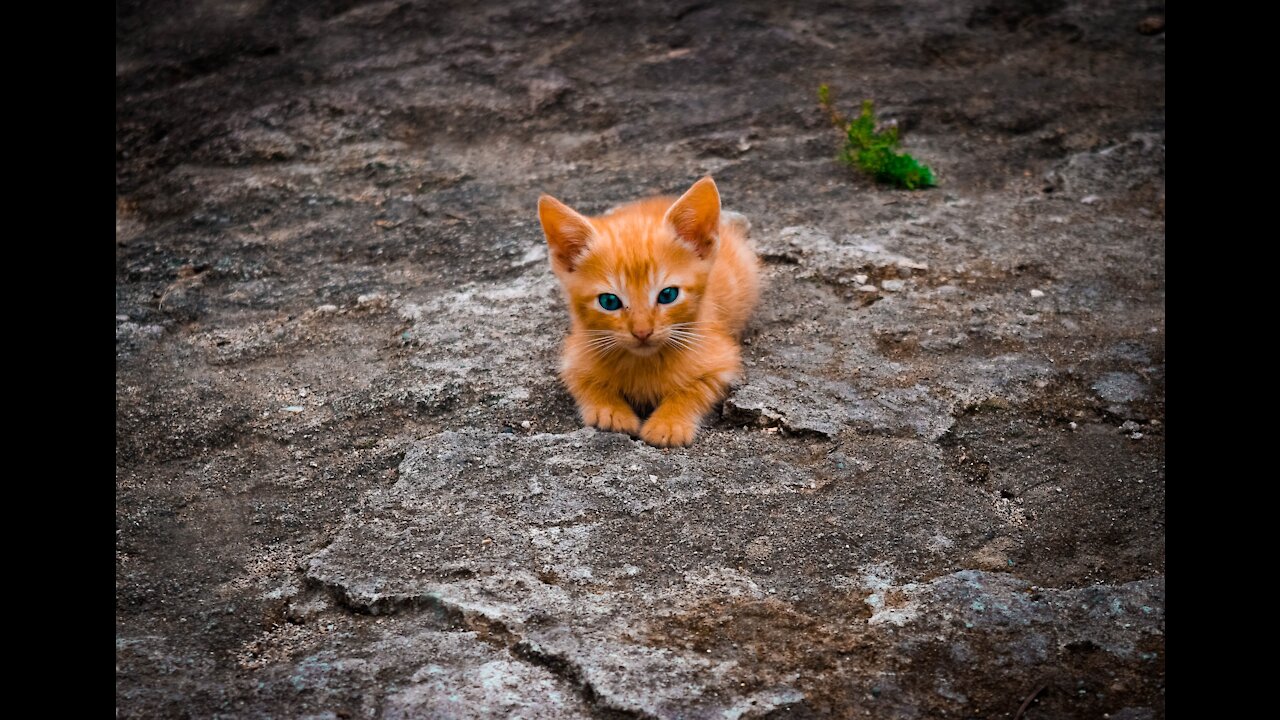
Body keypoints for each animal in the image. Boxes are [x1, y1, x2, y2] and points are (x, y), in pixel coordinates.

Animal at [537, 175, 757, 443]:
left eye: (668, 295)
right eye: (609, 302)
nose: (642, 332)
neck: (644, 362)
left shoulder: (721, 358)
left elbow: (696, 388)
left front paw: (669, 423)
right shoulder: (574, 356)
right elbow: (585, 383)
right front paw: (611, 412)